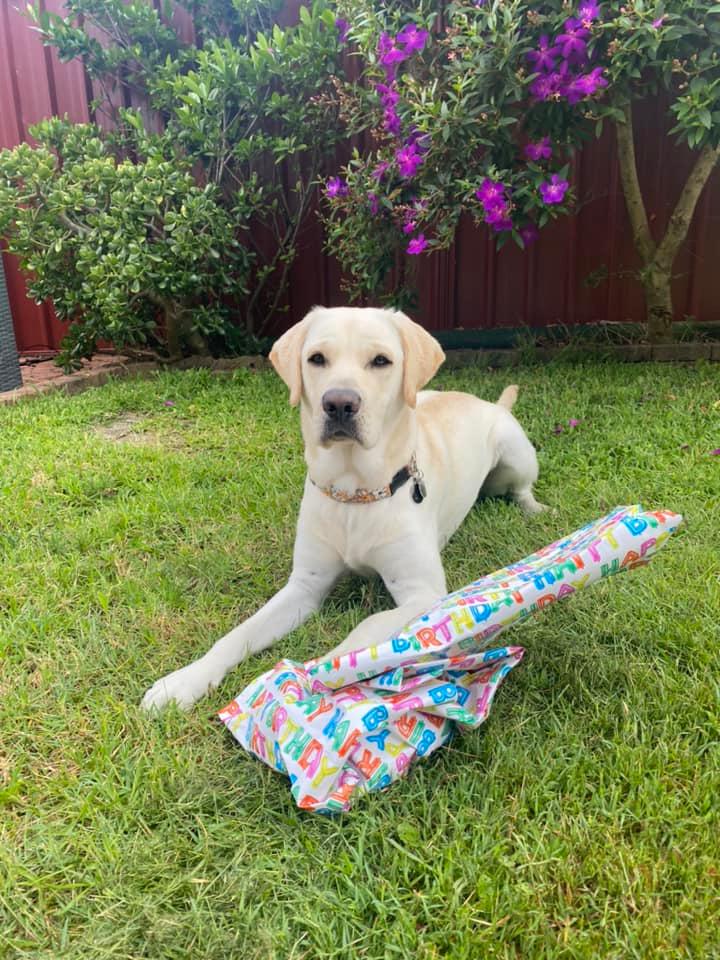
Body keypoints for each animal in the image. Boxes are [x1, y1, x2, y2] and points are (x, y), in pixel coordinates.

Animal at [143, 308, 544, 712]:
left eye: (381, 361)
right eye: (317, 358)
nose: (338, 403)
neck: (355, 492)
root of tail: (491, 404)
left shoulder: (424, 592)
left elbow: (365, 629)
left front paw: (319, 676)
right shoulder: (305, 585)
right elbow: (239, 633)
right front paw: (185, 680)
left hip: (515, 453)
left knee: (521, 486)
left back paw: (534, 508)